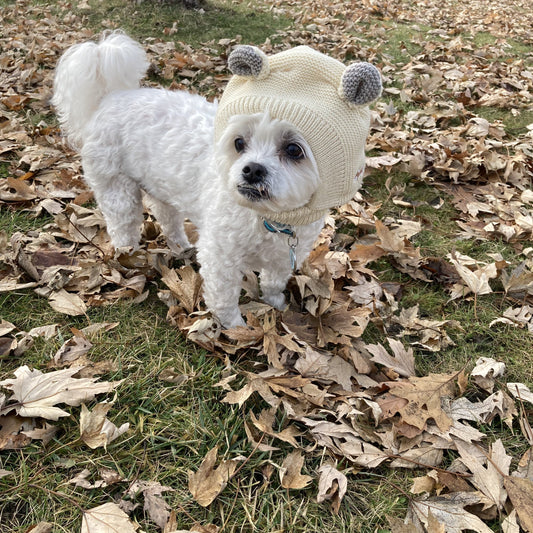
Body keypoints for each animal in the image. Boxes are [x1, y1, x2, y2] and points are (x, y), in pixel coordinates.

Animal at [52, 33, 380, 328]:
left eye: (293, 150)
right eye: (239, 143)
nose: (252, 170)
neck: (269, 218)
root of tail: (112, 97)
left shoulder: (284, 256)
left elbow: (273, 283)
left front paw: (275, 304)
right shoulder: (222, 255)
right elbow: (223, 297)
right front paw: (234, 328)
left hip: (162, 187)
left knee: (167, 217)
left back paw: (180, 246)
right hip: (115, 186)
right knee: (123, 224)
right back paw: (127, 257)